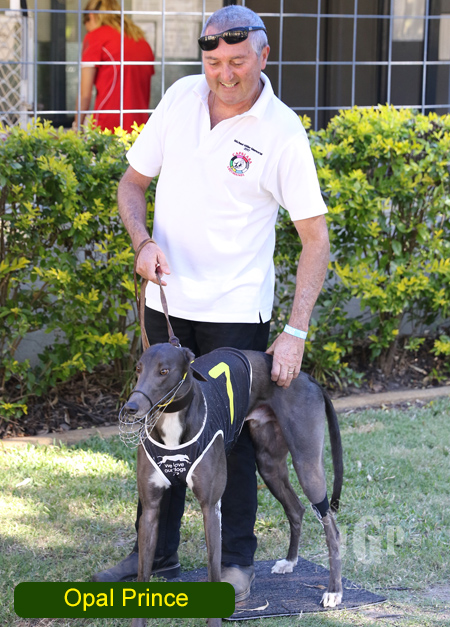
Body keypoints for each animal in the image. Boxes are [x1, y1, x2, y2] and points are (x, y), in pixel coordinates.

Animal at [120, 342, 343, 627]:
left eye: (164, 371)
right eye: (138, 369)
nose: (131, 407)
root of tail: (307, 377)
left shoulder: (210, 507)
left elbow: (215, 571)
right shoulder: (150, 509)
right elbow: (142, 575)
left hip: (307, 465)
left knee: (331, 526)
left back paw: (334, 590)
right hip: (269, 465)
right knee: (296, 509)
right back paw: (290, 561)